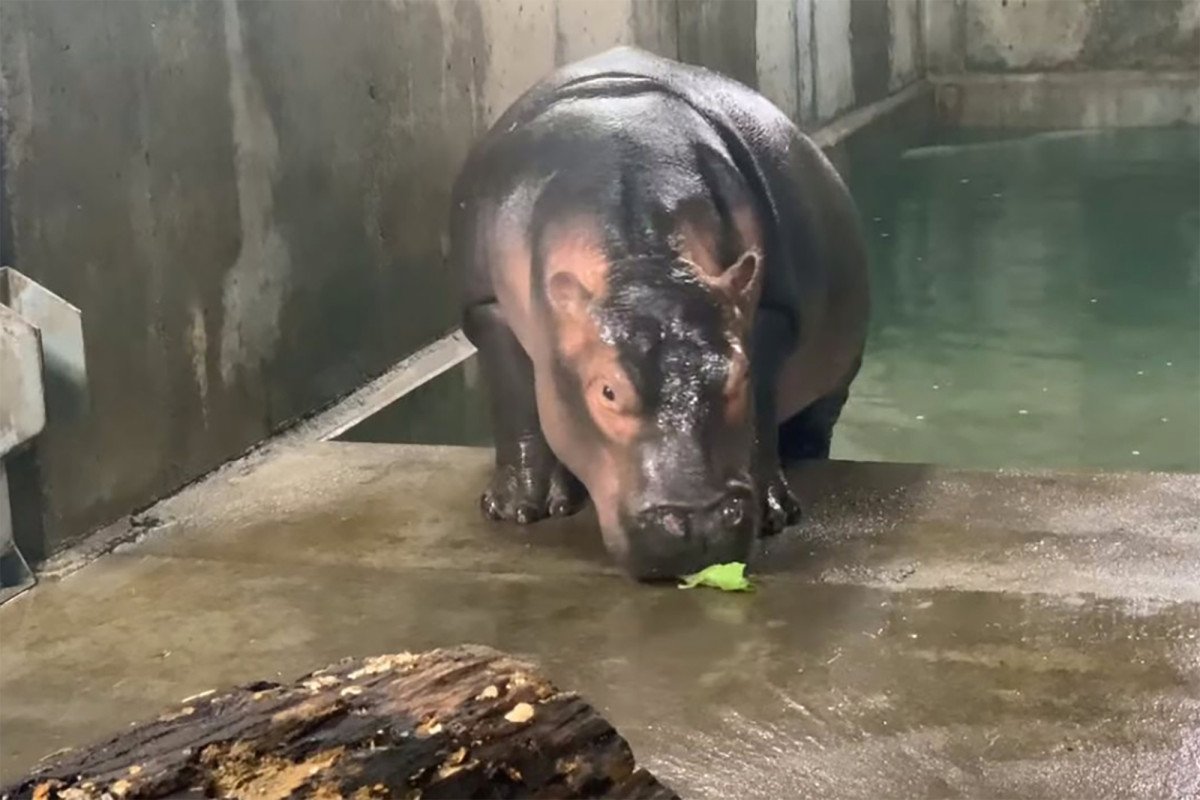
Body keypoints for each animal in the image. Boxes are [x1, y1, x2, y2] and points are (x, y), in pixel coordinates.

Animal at [450, 46, 868, 580]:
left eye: (740, 374)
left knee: (814, 427)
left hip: (836, 380)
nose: (700, 523)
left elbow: (761, 410)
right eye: (607, 391)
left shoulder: (771, 311)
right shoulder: (487, 307)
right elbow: (516, 401)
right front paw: (519, 509)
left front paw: (775, 512)